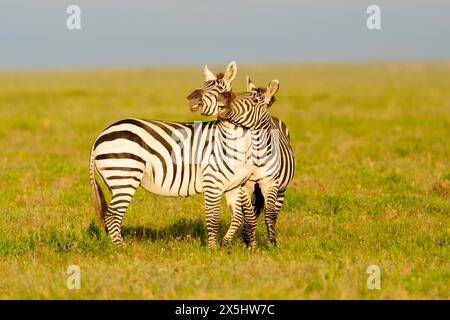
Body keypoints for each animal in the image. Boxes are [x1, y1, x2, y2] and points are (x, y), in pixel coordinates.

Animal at [88, 62, 258, 248]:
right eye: (202, 85)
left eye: (219, 89)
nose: (191, 98)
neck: (230, 141)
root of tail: (100, 136)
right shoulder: (211, 183)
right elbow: (213, 219)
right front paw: (213, 250)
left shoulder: (234, 185)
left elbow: (237, 217)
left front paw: (224, 245)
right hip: (124, 176)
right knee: (112, 216)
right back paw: (122, 249)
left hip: (115, 182)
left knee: (111, 215)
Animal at [186, 65, 296, 245]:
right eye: (201, 85)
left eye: (255, 101)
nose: (192, 98)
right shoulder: (244, 184)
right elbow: (249, 215)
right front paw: (247, 240)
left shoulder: (270, 183)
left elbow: (269, 215)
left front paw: (272, 244)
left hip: (281, 188)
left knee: (274, 212)